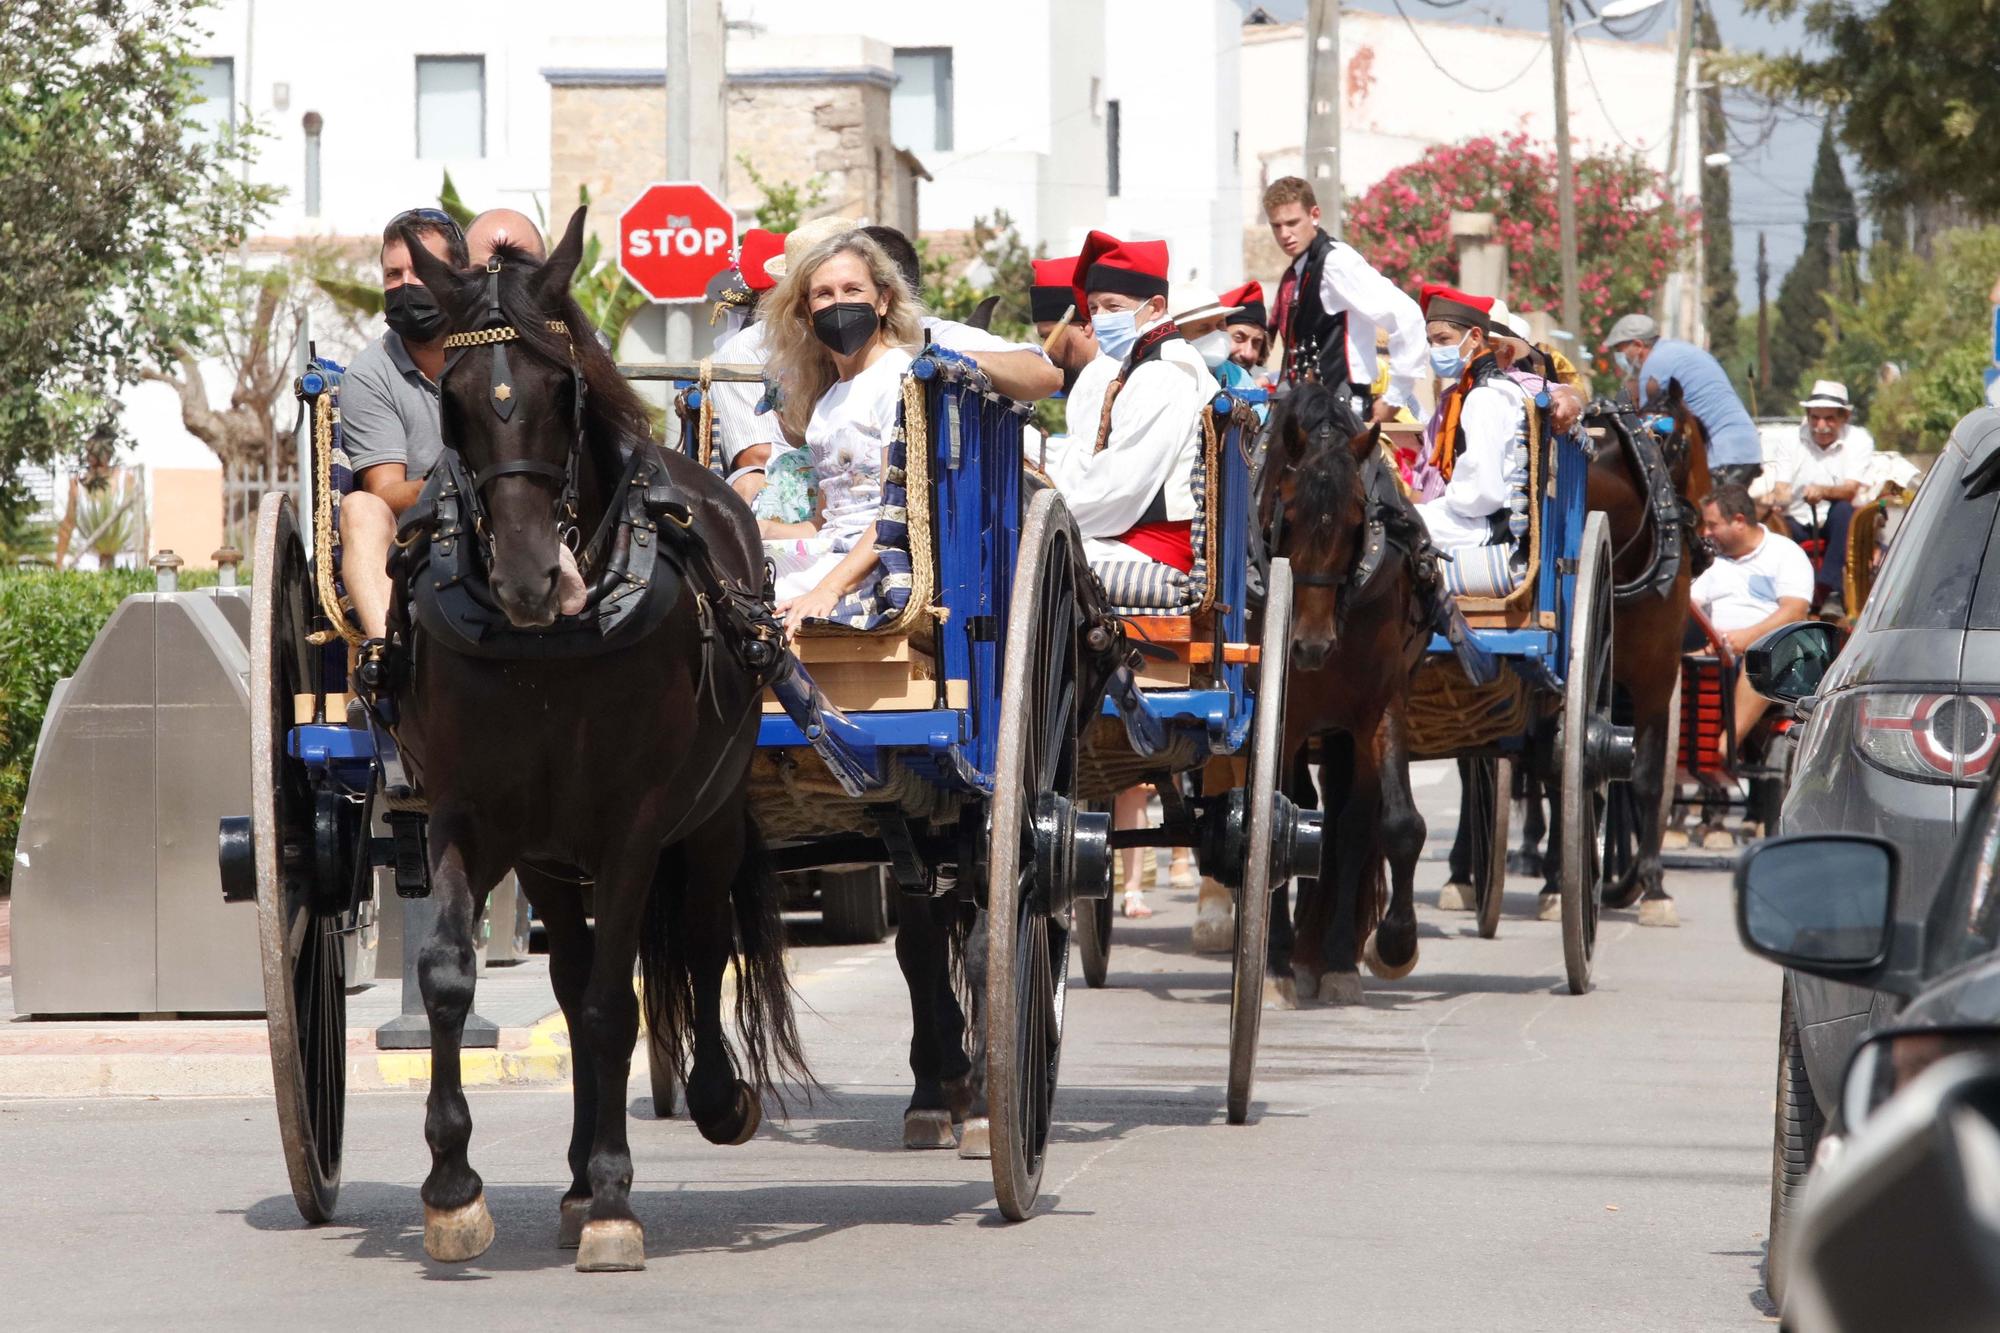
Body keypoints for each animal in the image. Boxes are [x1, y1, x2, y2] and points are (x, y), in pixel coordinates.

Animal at [390, 208, 804, 1264]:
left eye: (561, 387)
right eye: (453, 401)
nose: (531, 578)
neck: (552, 647)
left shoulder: (633, 826)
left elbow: (623, 1000)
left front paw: (618, 1195)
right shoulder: (466, 811)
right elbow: (451, 975)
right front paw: (452, 1185)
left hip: (707, 819)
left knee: (696, 940)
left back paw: (710, 1099)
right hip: (548, 852)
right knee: (573, 977)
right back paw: (576, 1175)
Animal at [1264, 378, 1440, 1000]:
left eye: (1356, 521)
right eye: (1288, 515)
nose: (1311, 646)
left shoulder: (1379, 707)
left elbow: (1390, 825)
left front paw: (1386, 946)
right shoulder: (1285, 715)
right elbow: (1277, 821)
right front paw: (1276, 959)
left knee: (1345, 819)